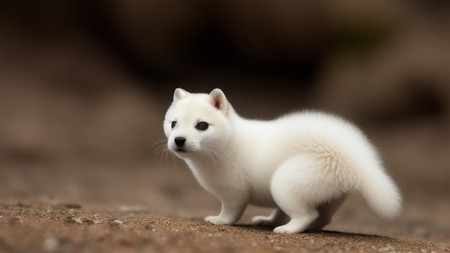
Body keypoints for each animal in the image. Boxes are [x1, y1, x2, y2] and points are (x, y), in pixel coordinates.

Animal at [163, 88, 402, 233]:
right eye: (173, 123)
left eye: (202, 125)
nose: (179, 140)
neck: (228, 143)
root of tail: (356, 161)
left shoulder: (234, 192)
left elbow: (231, 212)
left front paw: (219, 220)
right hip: (328, 196)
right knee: (322, 217)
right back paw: (271, 221)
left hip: (284, 183)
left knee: (307, 214)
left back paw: (287, 229)